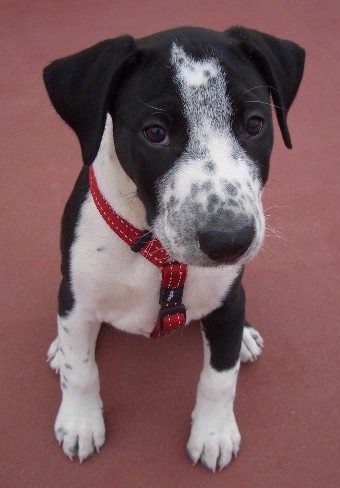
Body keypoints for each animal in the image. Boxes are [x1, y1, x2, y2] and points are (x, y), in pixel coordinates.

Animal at [43, 24, 306, 470]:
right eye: (155, 133)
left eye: (254, 125)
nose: (229, 241)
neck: (159, 253)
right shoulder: (76, 297)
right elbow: (81, 372)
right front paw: (80, 422)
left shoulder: (226, 302)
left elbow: (220, 377)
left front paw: (213, 434)